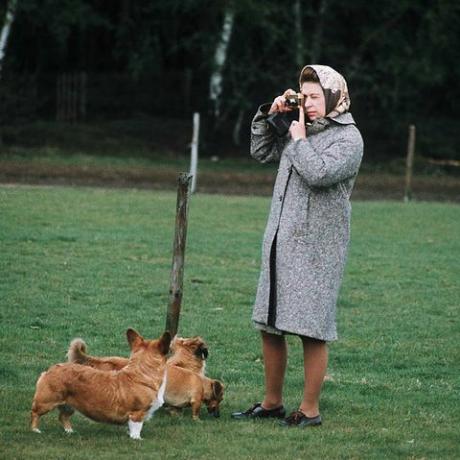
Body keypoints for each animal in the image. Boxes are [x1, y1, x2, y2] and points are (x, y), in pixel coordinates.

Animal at [31, 328, 171, 440]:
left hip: (69, 405)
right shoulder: (137, 413)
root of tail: (51, 369)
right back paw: (35, 430)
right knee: (34, 413)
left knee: (62, 417)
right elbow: (137, 428)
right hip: (46, 402)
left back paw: (70, 431)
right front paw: (137, 439)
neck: (142, 373)